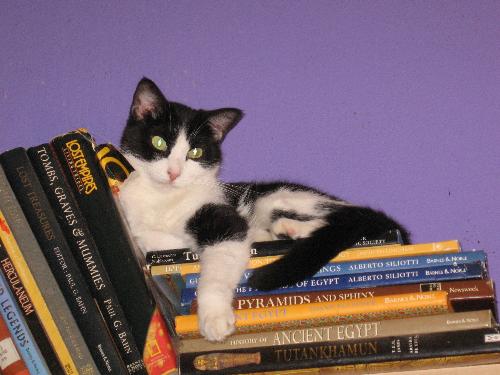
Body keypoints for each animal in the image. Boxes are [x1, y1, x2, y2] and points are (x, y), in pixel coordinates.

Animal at [118, 79, 410, 344]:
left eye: (196, 152)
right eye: (158, 142)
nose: (173, 172)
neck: (163, 199)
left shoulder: (225, 221)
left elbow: (218, 267)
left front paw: (214, 317)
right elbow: (148, 237)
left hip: (277, 197)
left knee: (348, 215)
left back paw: (288, 229)